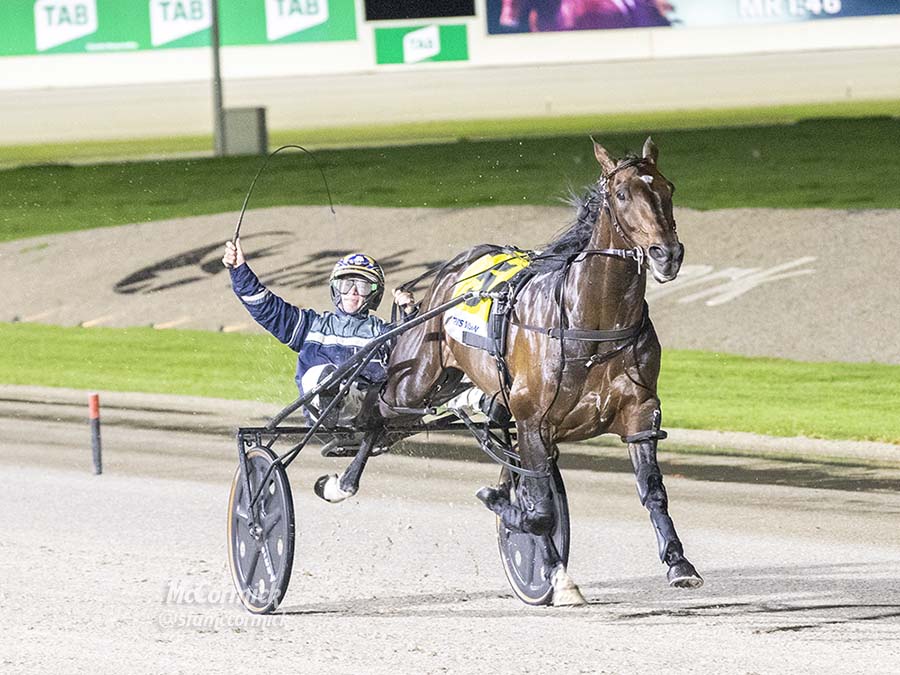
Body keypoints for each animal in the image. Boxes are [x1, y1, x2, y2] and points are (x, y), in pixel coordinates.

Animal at [316, 137, 704, 608]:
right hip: (414, 381)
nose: (668, 254)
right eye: (622, 194)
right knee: (378, 415)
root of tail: (453, 267)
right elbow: (538, 512)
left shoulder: (640, 413)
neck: (590, 322)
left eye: (668, 187)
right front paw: (529, 539)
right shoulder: (533, 421)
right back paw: (341, 478)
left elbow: (652, 491)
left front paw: (678, 563)